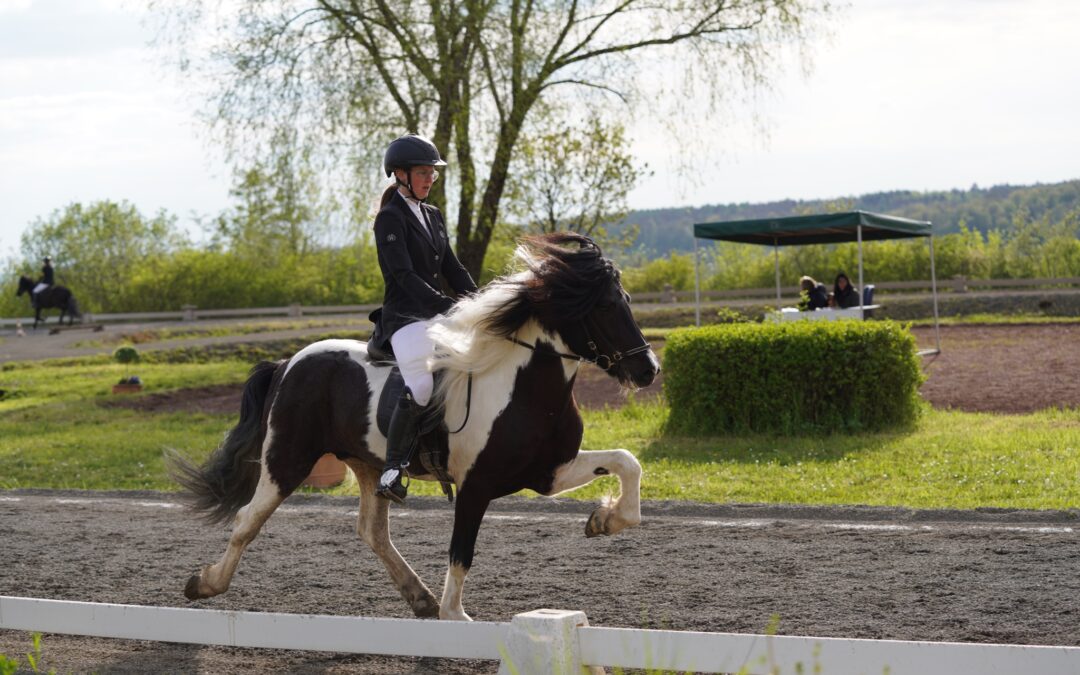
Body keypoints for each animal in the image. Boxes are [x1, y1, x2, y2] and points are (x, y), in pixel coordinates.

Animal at [173, 233, 660, 622]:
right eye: (605, 306)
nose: (649, 370)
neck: (524, 388)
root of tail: (288, 362)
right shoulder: (476, 485)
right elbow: (461, 552)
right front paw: (456, 616)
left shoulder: (549, 472)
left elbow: (627, 462)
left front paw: (605, 520)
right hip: (286, 461)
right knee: (248, 519)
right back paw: (204, 583)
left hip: (368, 464)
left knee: (372, 532)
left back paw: (420, 598)